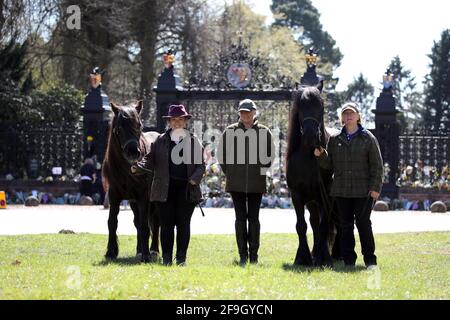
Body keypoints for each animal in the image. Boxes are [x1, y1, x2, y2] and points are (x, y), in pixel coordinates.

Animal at [102, 100, 160, 262]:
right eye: (119, 128)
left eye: (139, 125)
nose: (133, 152)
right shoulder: (114, 195)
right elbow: (112, 222)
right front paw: (111, 252)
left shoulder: (143, 197)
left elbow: (145, 225)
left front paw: (146, 255)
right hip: (134, 202)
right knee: (137, 222)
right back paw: (139, 250)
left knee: (155, 223)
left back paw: (153, 250)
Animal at [286, 82, 340, 268]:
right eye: (300, 106)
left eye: (320, 106)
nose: (311, 137)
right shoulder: (297, 195)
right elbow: (301, 226)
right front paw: (302, 258)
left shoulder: (326, 196)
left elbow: (324, 226)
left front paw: (326, 259)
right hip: (312, 202)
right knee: (314, 223)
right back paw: (314, 253)